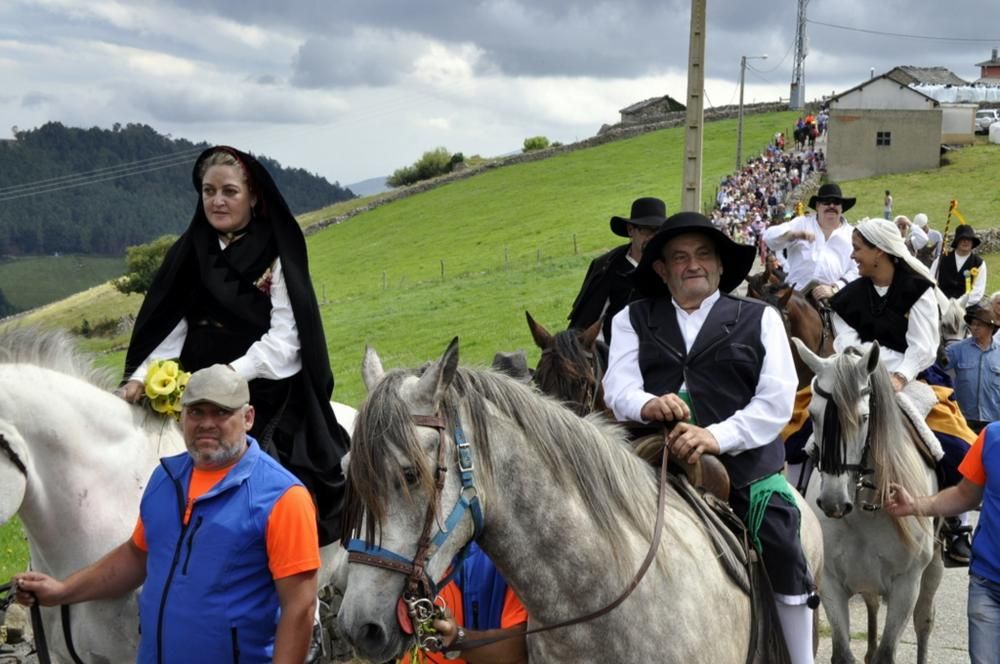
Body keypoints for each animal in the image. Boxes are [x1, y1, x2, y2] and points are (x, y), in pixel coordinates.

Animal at [792, 340, 940, 664]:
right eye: (813, 414)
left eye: (863, 418)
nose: (833, 503)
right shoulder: (830, 583)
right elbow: (843, 652)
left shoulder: (906, 585)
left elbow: (887, 653)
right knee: (872, 602)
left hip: (932, 569)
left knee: (924, 623)